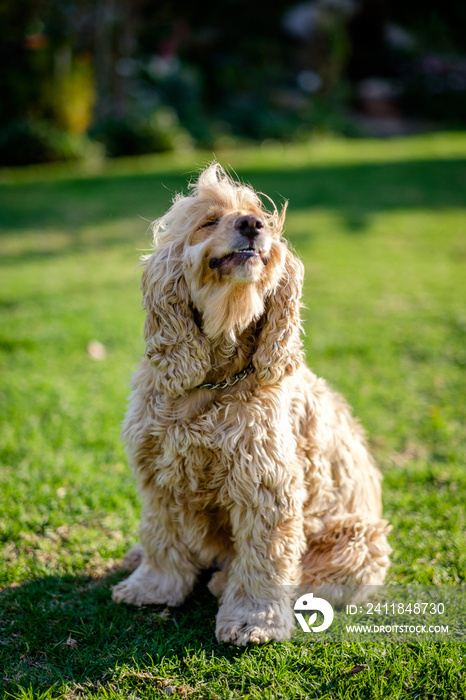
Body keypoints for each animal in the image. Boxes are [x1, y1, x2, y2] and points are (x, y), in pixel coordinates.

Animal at [112, 164, 390, 644]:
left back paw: (223, 582)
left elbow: (265, 561)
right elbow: (161, 537)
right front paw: (151, 587)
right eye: (208, 221)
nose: (252, 225)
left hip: (360, 539)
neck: (214, 378)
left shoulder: (265, 483)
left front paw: (252, 620)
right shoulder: (159, 471)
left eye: (262, 218)